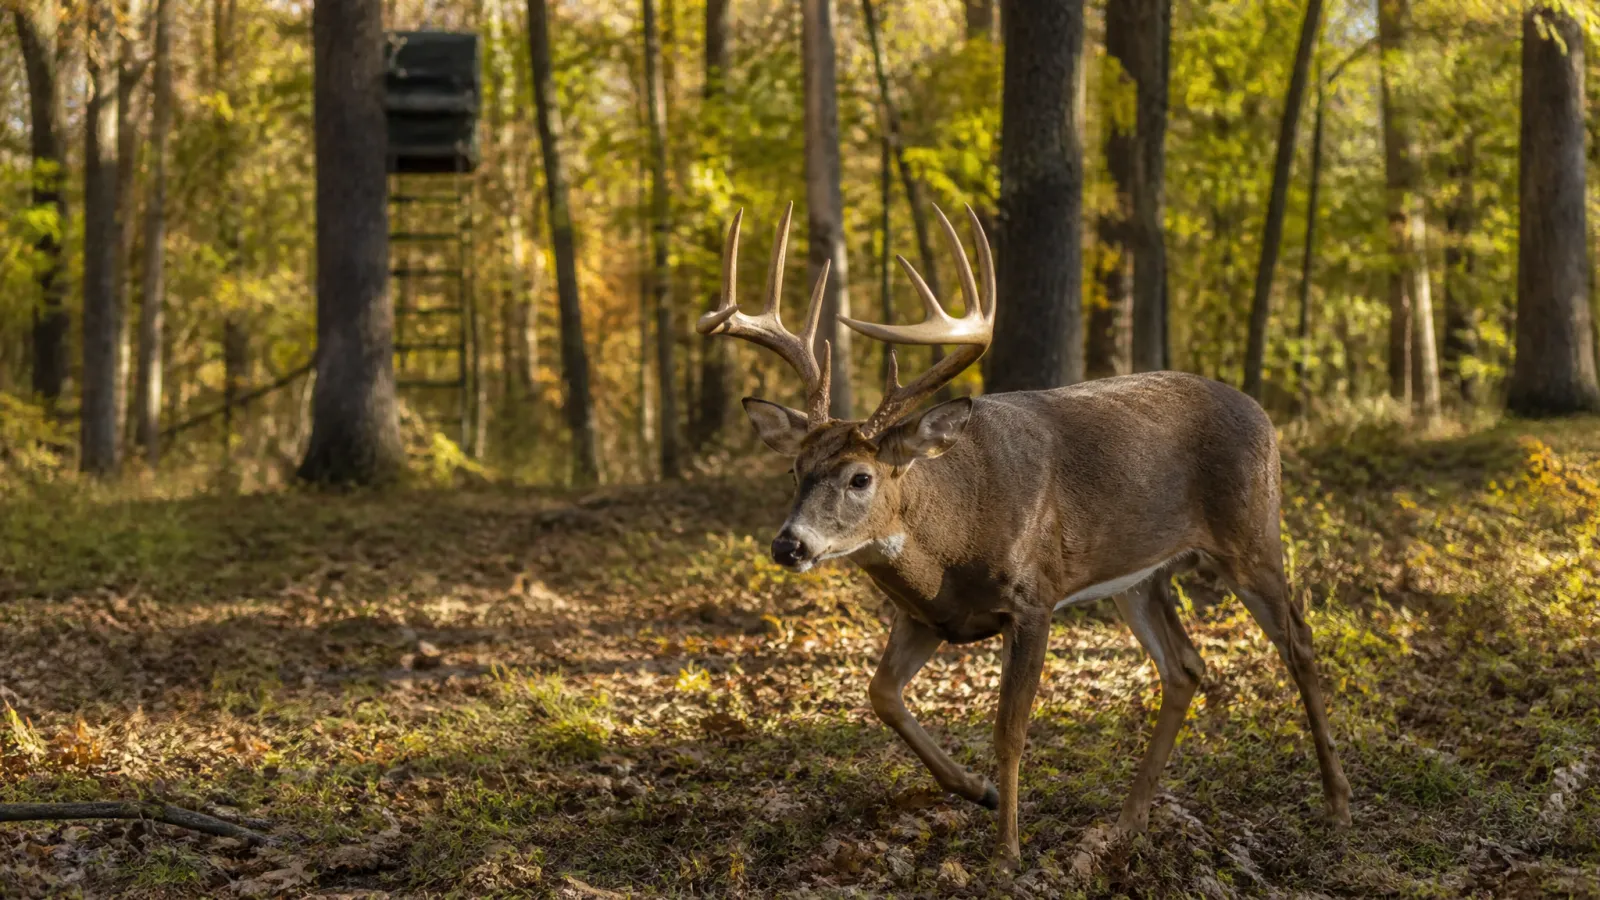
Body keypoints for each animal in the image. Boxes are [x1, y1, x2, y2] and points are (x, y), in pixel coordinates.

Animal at [698, 202, 1352, 870]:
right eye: (795, 470)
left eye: (861, 476)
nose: (789, 545)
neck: (952, 539)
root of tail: (1264, 415)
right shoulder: (927, 615)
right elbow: (882, 695)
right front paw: (977, 790)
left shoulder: (1035, 598)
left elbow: (1009, 729)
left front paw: (1007, 850)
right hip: (1139, 578)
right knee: (1185, 666)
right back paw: (1129, 820)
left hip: (1251, 535)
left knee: (1299, 642)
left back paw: (1336, 802)